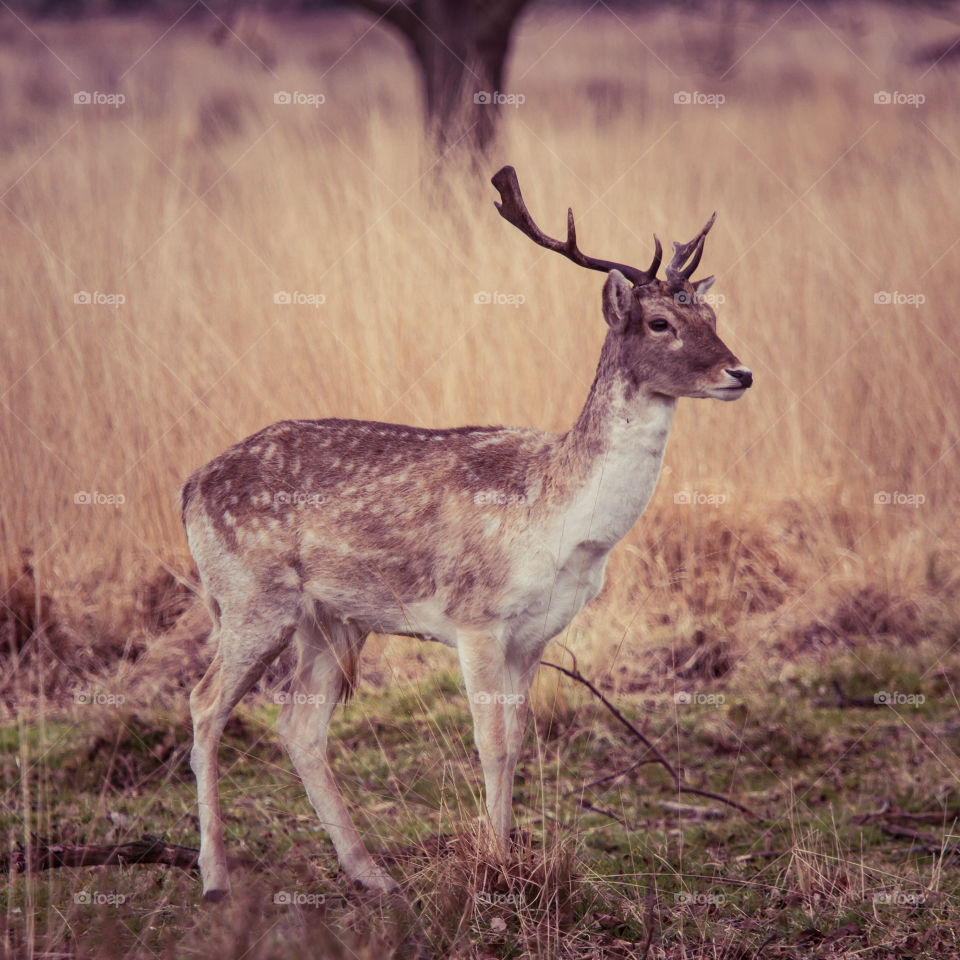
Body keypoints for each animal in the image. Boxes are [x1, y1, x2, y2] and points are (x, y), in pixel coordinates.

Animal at [180, 167, 752, 900]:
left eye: (712, 316)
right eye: (660, 322)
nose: (741, 372)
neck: (560, 522)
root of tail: (190, 486)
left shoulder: (535, 635)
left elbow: (517, 743)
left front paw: (508, 857)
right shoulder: (476, 618)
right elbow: (492, 743)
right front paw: (495, 867)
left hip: (332, 619)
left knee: (298, 725)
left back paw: (372, 873)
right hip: (251, 596)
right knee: (205, 704)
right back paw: (215, 876)